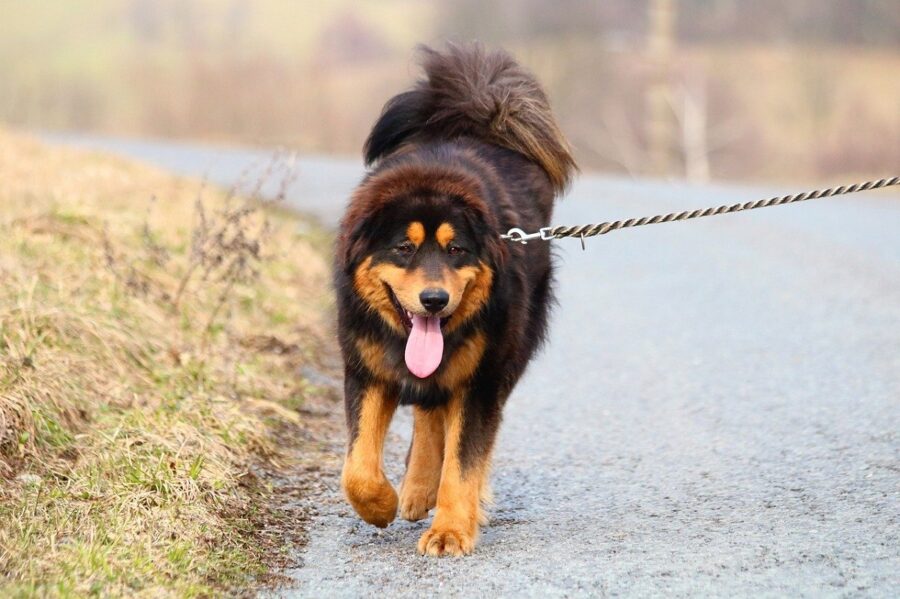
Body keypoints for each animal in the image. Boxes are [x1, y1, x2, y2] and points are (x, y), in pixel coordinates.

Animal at [332, 43, 576, 556]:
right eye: (404, 248)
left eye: (456, 250)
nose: (434, 299)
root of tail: (480, 111)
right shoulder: (365, 368)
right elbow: (357, 466)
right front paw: (380, 504)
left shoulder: (481, 379)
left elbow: (463, 462)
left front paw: (450, 530)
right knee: (428, 411)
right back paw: (416, 488)